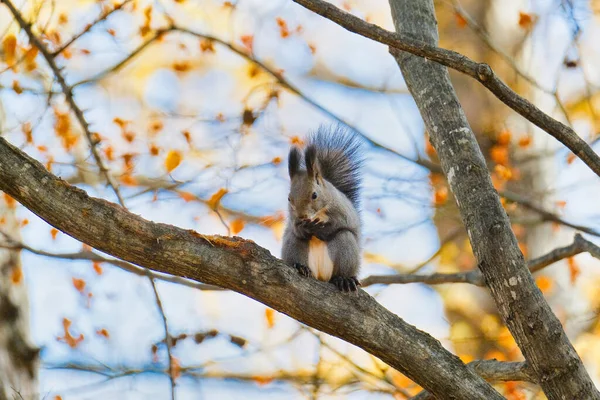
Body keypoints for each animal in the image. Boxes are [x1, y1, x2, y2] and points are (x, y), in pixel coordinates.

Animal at [282, 123, 364, 292]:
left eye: (314, 195)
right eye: (289, 198)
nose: (302, 216)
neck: (317, 214)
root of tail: (320, 276)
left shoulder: (343, 211)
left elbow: (339, 224)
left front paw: (319, 228)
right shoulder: (292, 218)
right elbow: (295, 229)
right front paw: (303, 227)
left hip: (345, 247)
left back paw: (344, 279)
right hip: (293, 247)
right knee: (296, 240)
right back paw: (301, 267)